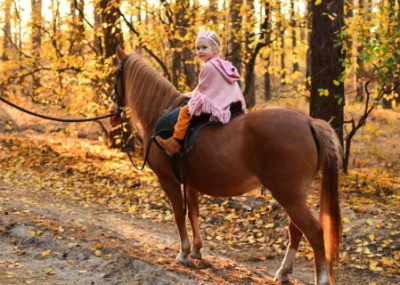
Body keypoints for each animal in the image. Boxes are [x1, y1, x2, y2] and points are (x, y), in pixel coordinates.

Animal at [111, 46, 342, 284]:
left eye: (115, 73)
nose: (113, 98)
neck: (160, 112)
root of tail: (309, 121)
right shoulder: (190, 183)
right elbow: (193, 213)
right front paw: (196, 250)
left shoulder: (169, 181)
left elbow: (178, 215)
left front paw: (184, 252)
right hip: (294, 197)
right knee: (296, 230)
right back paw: (284, 271)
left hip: (289, 196)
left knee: (314, 232)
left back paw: (320, 278)